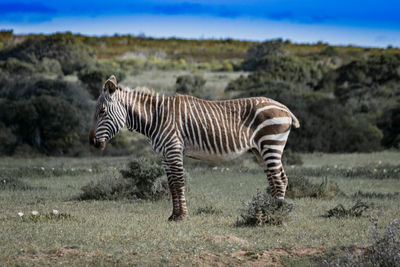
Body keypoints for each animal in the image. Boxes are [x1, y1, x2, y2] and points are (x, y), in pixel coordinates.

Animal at [88, 76, 300, 222]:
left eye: (102, 111)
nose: (92, 142)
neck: (156, 117)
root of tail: (285, 108)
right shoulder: (165, 154)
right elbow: (171, 184)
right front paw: (173, 215)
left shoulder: (174, 149)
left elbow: (178, 182)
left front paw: (181, 216)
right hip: (260, 149)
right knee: (276, 179)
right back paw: (267, 210)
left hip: (271, 144)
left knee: (279, 180)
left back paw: (275, 215)